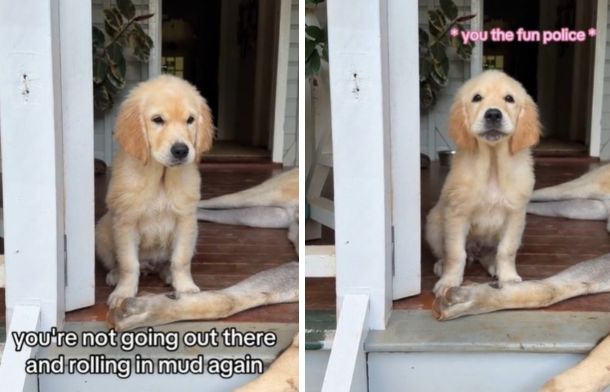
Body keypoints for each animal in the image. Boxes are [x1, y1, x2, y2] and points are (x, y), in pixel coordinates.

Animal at [97, 75, 214, 308]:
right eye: (158, 120)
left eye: (190, 120)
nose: (181, 150)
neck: (161, 175)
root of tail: (149, 265)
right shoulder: (126, 221)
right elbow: (128, 263)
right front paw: (123, 293)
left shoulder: (186, 220)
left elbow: (181, 259)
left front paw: (185, 288)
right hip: (103, 230)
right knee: (118, 262)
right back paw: (114, 275)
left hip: (195, 233)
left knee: (168, 262)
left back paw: (167, 274)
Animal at [426, 70, 540, 298]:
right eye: (477, 98)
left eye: (509, 98)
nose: (493, 114)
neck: (493, 166)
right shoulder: (457, 214)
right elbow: (455, 253)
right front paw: (449, 282)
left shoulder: (515, 216)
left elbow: (507, 250)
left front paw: (509, 278)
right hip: (433, 223)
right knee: (446, 251)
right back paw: (441, 265)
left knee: (491, 254)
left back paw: (494, 267)